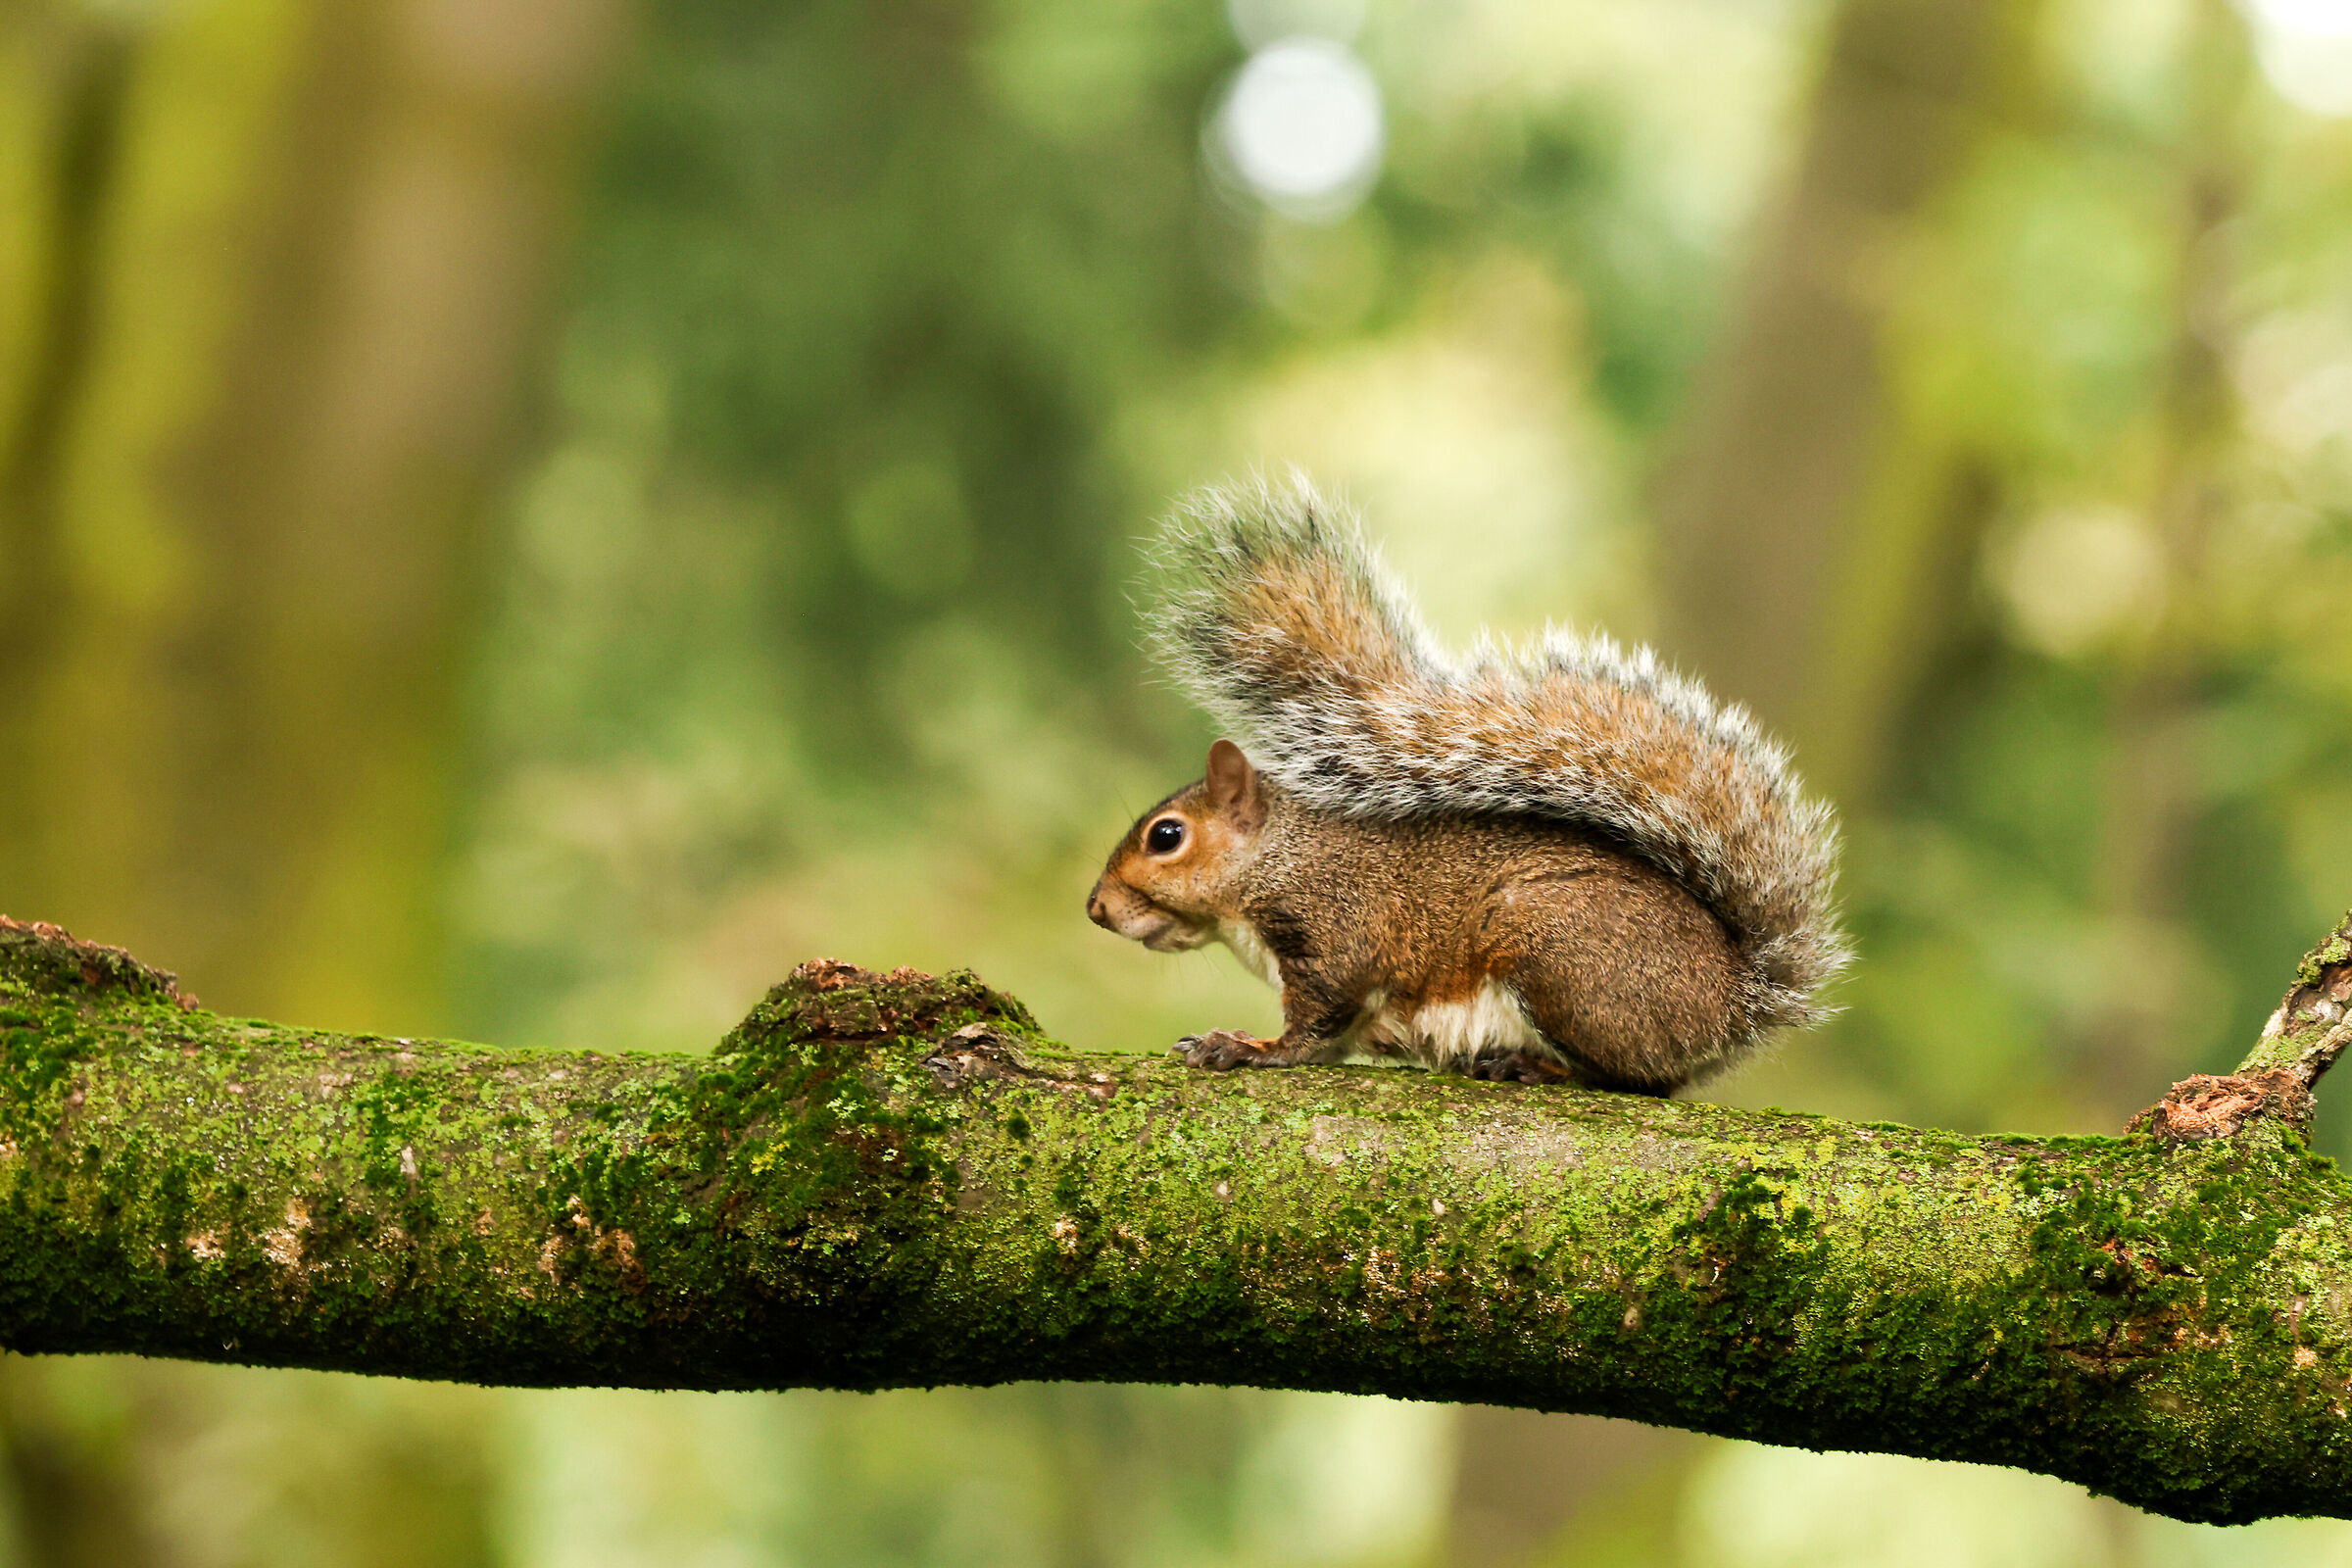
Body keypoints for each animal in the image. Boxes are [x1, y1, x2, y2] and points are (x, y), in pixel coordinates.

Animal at [1085, 474, 1849, 1093]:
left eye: (1166, 837)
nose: (1096, 909)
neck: (1279, 859)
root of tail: (1735, 1002)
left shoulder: (1336, 931)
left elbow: (1311, 1027)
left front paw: (1246, 1046)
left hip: (1560, 955)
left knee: (1632, 1079)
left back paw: (1533, 1066)